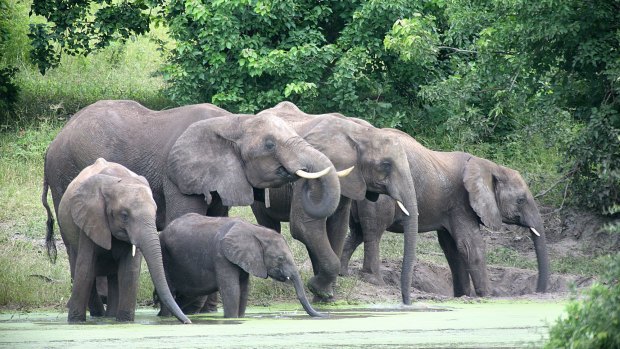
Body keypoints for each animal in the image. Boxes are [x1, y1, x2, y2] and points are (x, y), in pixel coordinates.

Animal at [53, 157, 189, 320]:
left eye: (155, 213)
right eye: (124, 216)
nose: (188, 322)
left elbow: (129, 272)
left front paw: (124, 321)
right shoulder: (90, 218)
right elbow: (85, 270)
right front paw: (75, 322)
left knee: (113, 277)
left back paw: (110, 317)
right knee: (77, 266)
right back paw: (99, 316)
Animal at [160, 212, 324, 318]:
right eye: (280, 258)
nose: (323, 315)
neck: (254, 229)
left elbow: (244, 289)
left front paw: (239, 319)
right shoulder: (221, 256)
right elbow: (232, 290)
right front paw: (232, 320)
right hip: (166, 257)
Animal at [249, 102, 418, 304]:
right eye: (386, 165)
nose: (406, 302)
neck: (361, 133)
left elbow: (337, 227)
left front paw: (326, 296)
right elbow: (304, 225)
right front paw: (319, 290)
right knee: (270, 225)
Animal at [342, 128, 548, 296]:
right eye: (521, 200)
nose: (539, 291)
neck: (491, 166)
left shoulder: (450, 208)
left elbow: (453, 249)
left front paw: (464, 295)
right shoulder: (461, 203)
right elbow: (470, 245)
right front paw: (488, 296)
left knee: (357, 232)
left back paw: (343, 273)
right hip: (380, 198)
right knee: (374, 232)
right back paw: (374, 281)